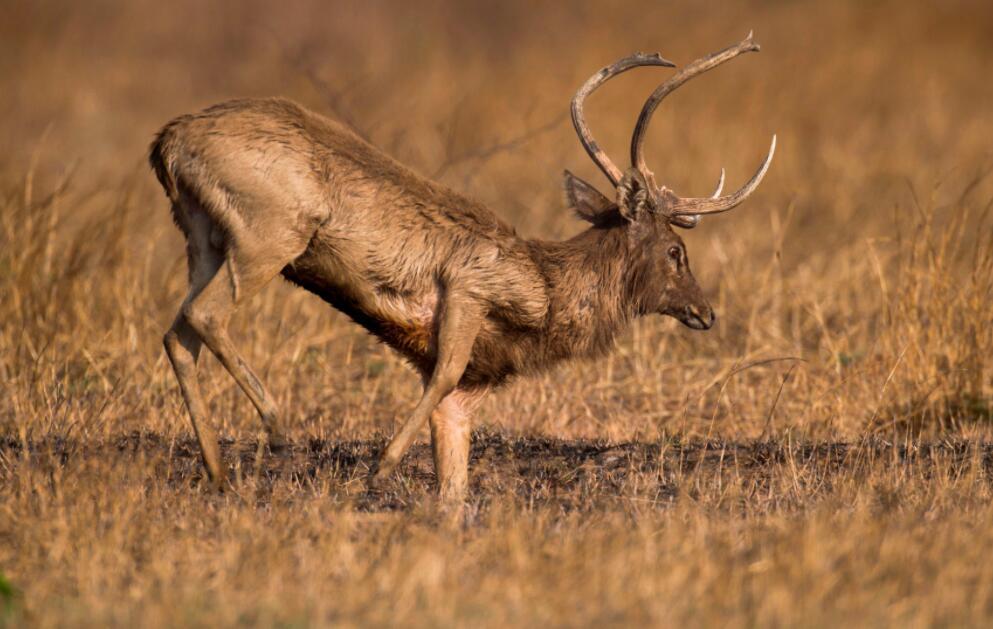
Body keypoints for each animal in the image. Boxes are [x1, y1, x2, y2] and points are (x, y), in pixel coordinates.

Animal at [153, 33, 776, 506]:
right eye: (675, 251)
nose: (705, 311)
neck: (547, 292)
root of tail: (166, 142)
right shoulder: (470, 286)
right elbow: (444, 373)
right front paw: (379, 469)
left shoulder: (471, 387)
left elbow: (454, 471)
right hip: (271, 233)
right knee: (205, 316)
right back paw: (278, 430)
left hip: (203, 238)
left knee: (177, 331)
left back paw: (219, 472)